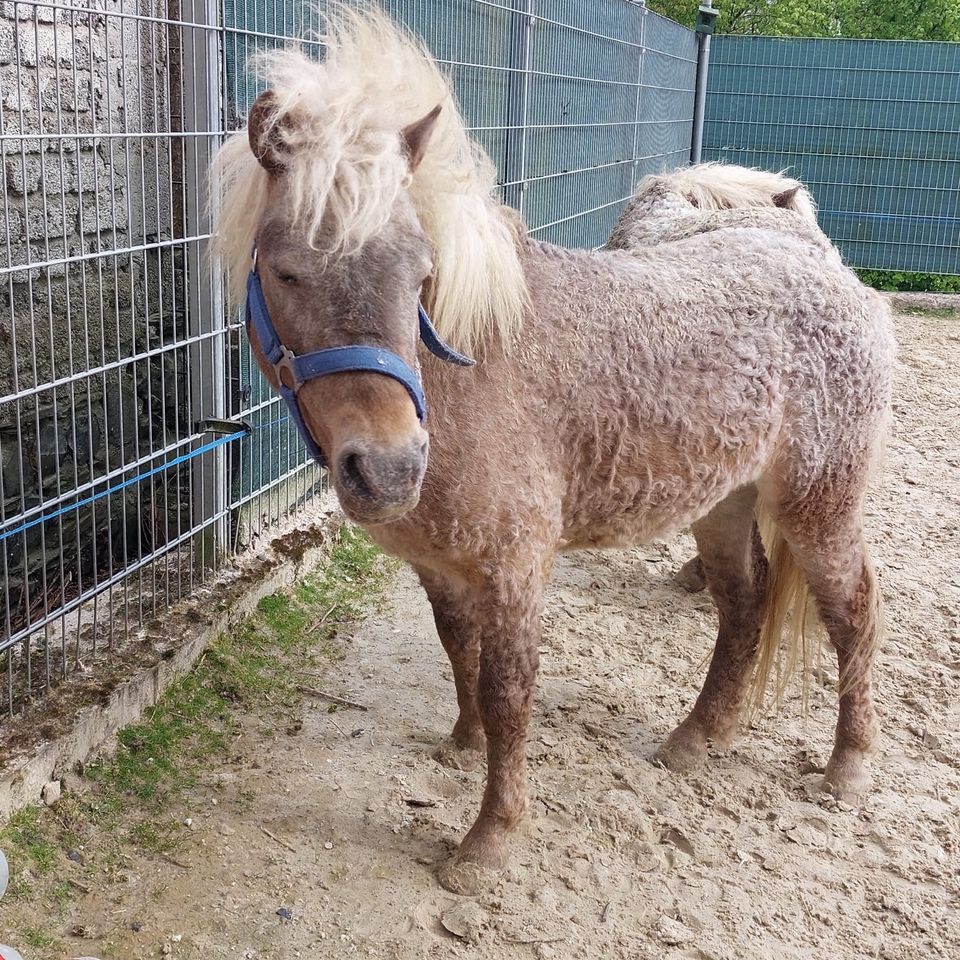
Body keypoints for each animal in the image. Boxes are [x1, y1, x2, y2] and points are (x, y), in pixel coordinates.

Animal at [208, 3, 892, 896]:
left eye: (420, 273)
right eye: (287, 271)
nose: (389, 469)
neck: (465, 375)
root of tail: (834, 271)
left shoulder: (516, 564)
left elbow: (509, 688)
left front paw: (489, 839)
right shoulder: (442, 566)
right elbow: (457, 649)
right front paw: (462, 743)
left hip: (818, 501)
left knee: (852, 610)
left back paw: (847, 767)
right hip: (724, 500)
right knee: (743, 605)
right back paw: (696, 739)